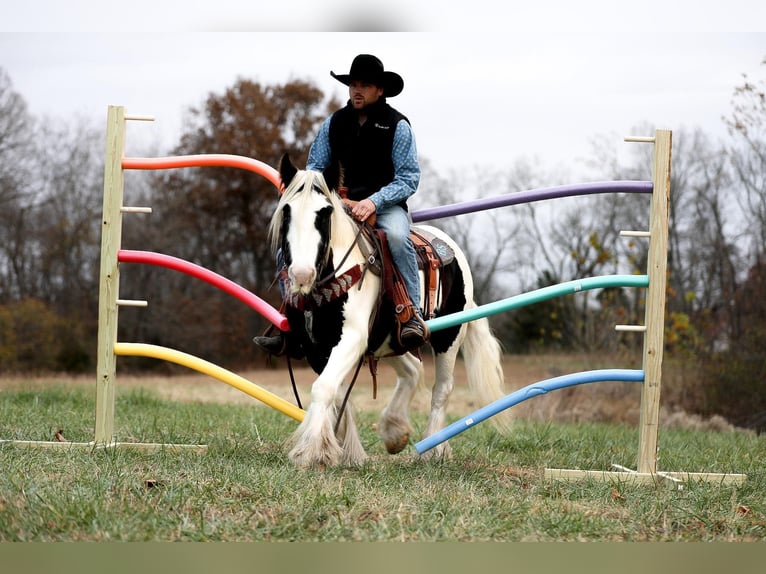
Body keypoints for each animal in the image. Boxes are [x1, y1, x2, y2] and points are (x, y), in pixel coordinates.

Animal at [270, 155, 510, 470]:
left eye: (324, 213)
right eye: (286, 211)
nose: (301, 274)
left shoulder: (352, 338)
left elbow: (324, 388)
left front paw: (311, 451)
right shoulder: (315, 347)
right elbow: (335, 393)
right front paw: (344, 450)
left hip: (448, 337)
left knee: (442, 389)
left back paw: (433, 448)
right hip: (389, 340)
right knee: (413, 370)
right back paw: (394, 431)